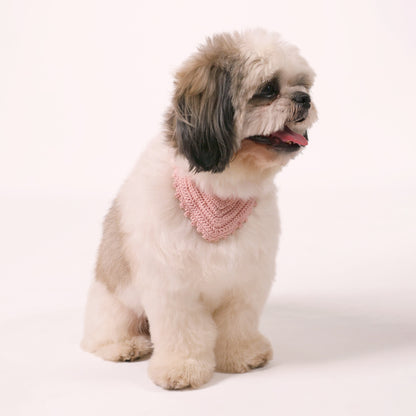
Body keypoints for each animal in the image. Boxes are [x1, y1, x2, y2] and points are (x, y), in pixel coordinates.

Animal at [83, 27, 320, 388]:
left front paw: (242, 354)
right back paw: (124, 346)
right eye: (268, 89)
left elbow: (238, 323)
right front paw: (181, 368)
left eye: (303, 86)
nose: (303, 100)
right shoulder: (173, 287)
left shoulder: (245, 281)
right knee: (104, 334)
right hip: (114, 302)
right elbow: (182, 331)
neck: (220, 192)